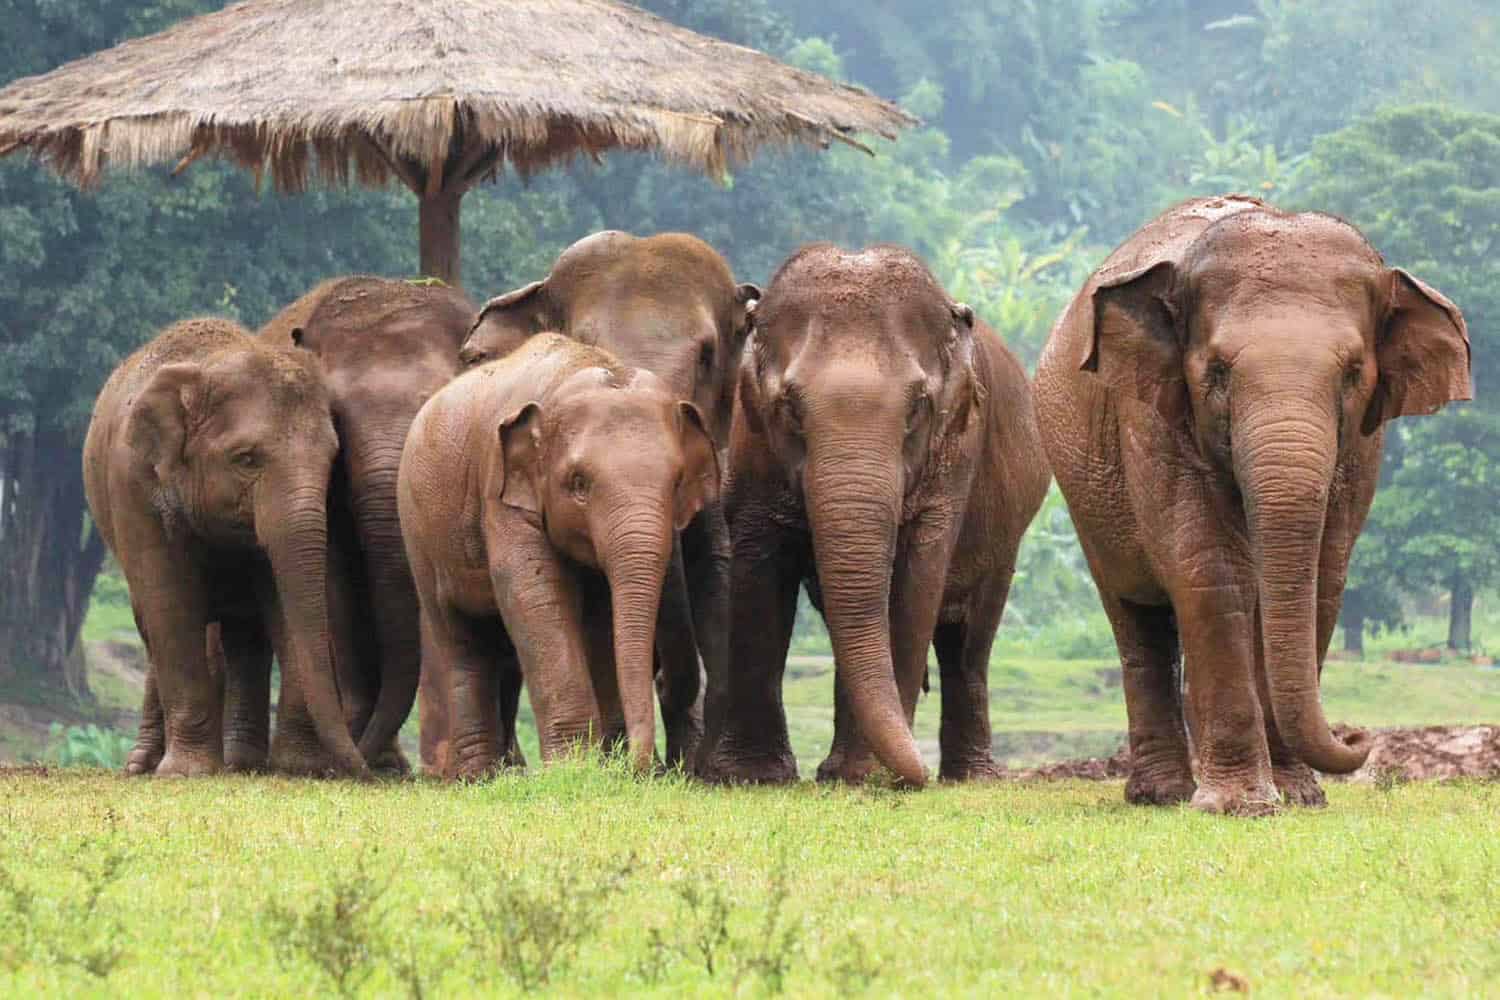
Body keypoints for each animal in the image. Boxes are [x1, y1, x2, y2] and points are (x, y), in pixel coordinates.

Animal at [82, 318, 366, 777]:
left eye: (332, 459)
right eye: (246, 459)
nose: (362, 769)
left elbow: (281, 603)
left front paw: (298, 767)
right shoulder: (133, 483)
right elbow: (170, 602)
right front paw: (187, 772)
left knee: (243, 634)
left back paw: (241, 762)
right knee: (151, 624)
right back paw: (144, 765)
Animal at [398, 333, 721, 777]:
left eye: (676, 483)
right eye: (578, 483)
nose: (642, 768)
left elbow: (601, 616)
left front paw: (605, 763)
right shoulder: (500, 494)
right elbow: (537, 596)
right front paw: (573, 768)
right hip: (419, 530)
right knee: (458, 635)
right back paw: (478, 777)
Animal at [698, 244, 1050, 787]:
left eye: (918, 407)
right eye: (790, 408)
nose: (918, 773)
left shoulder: (955, 458)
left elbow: (913, 584)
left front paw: (869, 776)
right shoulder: (750, 443)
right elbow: (758, 570)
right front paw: (752, 776)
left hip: (1007, 534)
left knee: (969, 641)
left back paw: (967, 777)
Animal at [1033, 196, 1471, 815]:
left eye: (1353, 374)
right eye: (1217, 372)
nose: (1359, 736)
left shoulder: (1363, 445)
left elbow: (1322, 580)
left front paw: (1299, 796)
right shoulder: (1152, 420)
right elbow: (1209, 573)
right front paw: (1238, 806)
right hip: (1083, 494)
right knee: (1136, 616)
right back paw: (1162, 795)